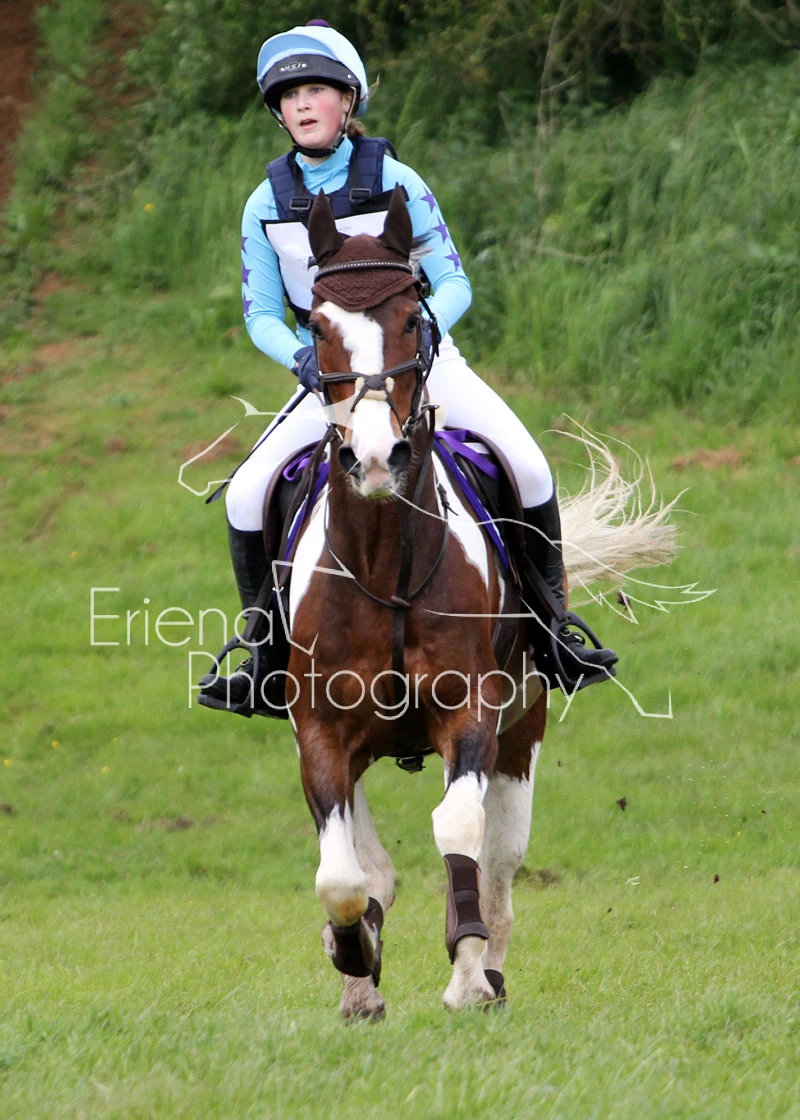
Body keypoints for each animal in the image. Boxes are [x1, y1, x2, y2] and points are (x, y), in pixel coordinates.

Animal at [283, 186, 675, 1020]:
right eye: (318, 327)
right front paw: (352, 951)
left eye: (411, 316)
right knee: (373, 863)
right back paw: (361, 981)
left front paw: (465, 974)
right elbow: (341, 874)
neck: (385, 562)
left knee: (498, 861)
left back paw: (486, 968)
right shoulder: (320, 730)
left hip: (521, 729)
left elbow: (459, 829)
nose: (376, 459)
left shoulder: (474, 710)